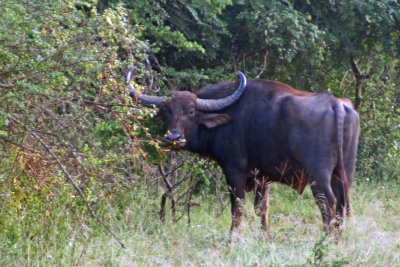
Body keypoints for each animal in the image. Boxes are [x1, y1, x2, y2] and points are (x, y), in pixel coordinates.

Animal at [127, 69, 360, 232]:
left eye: (191, 111)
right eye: (165, 111)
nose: (172, 138)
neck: (230, 116)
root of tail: (335, 104)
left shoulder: (234, 171)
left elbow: (237, 209)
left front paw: (233, 239)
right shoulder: (263, 177)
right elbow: (262, 209)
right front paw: (266, 237)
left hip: (318, 176)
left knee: (328, 204)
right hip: (344, 173)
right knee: (341, 206)